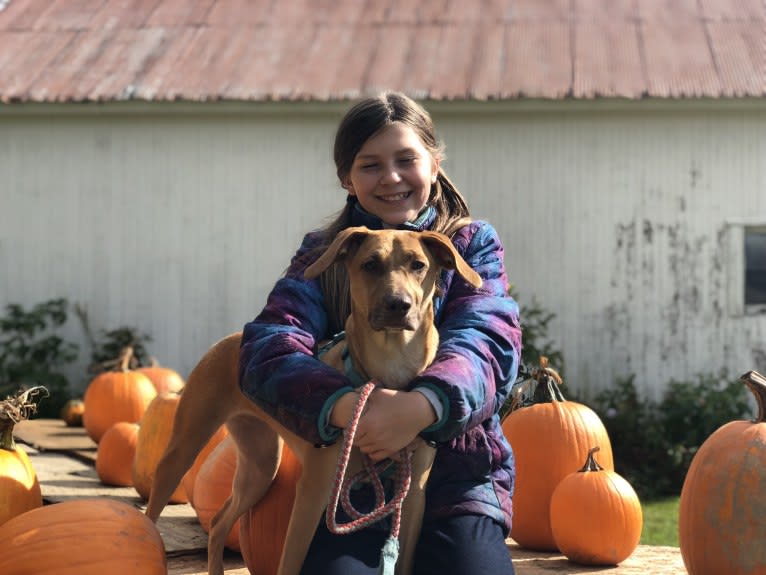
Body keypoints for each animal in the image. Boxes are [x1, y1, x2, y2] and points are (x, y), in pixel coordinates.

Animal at [146, 227, 480, 575]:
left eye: (418, 265)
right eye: (370, 264)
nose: (398, 304)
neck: (389, 369)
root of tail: (230, 339)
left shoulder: (413, 496)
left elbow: (404, 560)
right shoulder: (313, 492)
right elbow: (290, 563)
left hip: (260, 465)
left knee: (219, 521)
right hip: (184, 449)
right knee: (152, 518)